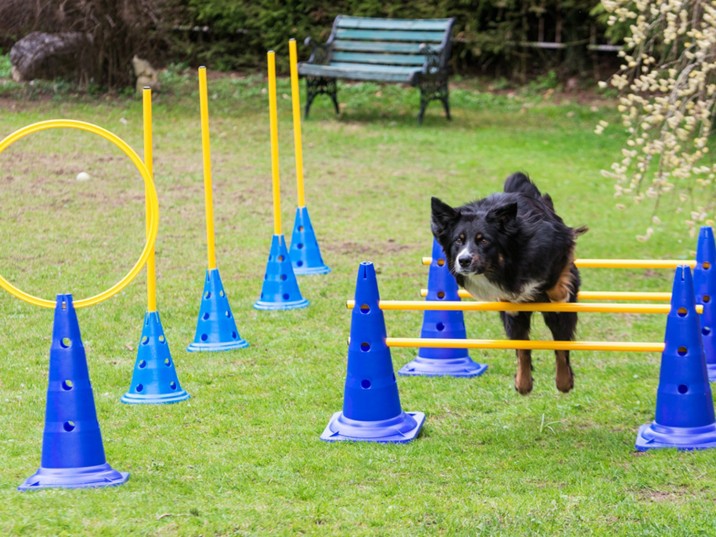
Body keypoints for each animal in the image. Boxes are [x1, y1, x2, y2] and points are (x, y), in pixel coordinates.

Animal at [430, 173, 588, 394]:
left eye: (484, 240)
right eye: (458, 241)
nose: (464, 260)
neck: (507, 262)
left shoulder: (556, 243)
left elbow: (556, 279)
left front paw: (559, 293)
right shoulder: (510, 310)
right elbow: (521, 348)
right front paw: (523, 382)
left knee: (561, 346)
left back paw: (564, 381)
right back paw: (526, 383)